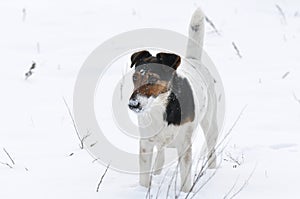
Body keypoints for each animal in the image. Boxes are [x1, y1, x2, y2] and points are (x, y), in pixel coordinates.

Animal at [127, 8, 219, 193]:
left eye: (153, 79)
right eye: (134, 78)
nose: (133, 104)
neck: (160, 107)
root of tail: (194, 60)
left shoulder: (184, 146)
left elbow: (185, 179)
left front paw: (185, 193)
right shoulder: (145, 144)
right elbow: (144, 178)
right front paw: (143, 190)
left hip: (210, 124)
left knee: (211, 149)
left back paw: (212, 171)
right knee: (160, 155)